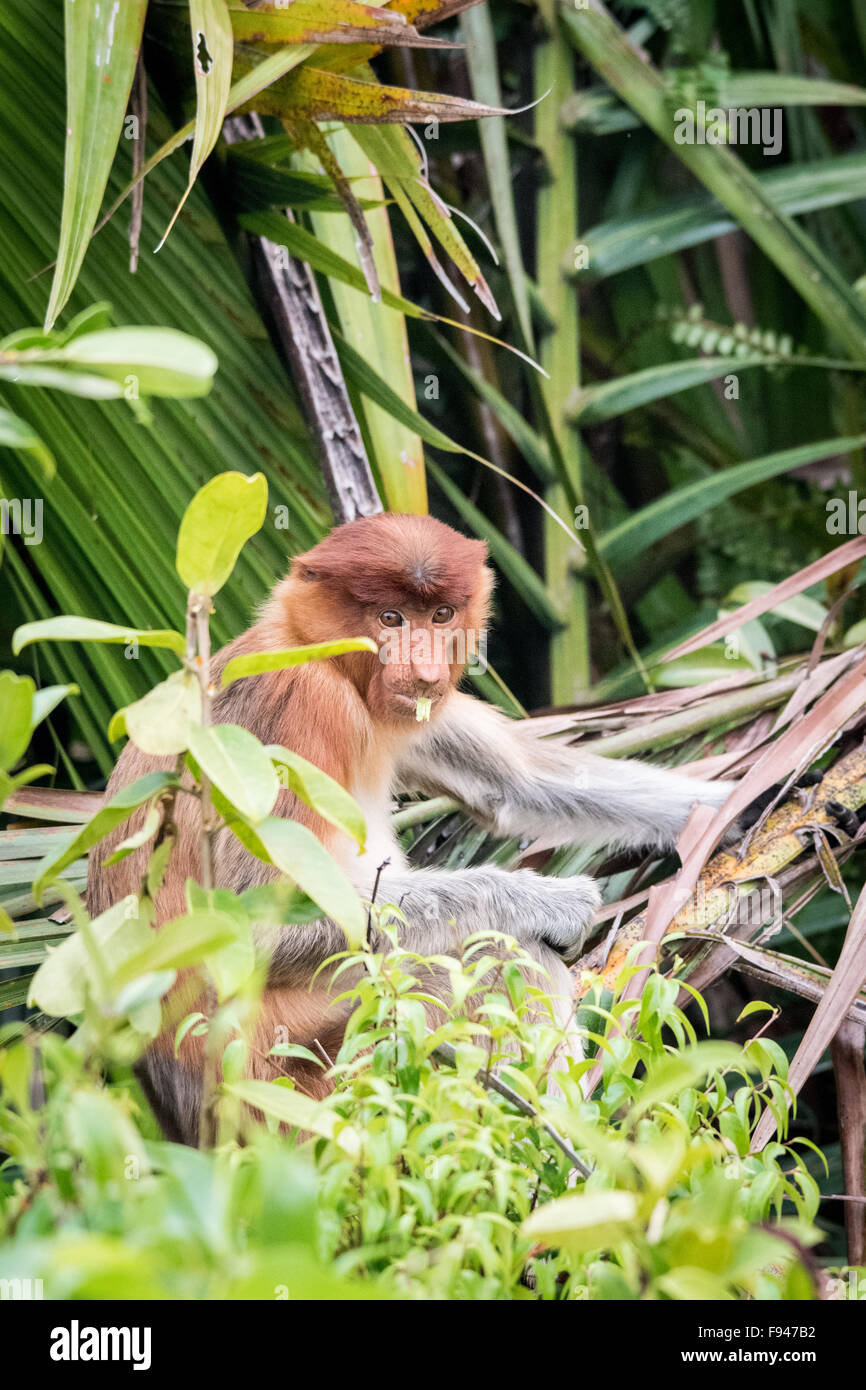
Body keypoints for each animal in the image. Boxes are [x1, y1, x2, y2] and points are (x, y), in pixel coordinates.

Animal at [87, 512, 737, 1145]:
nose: (424, 666)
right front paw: (556, 904)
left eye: (442, 615)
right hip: (312, 1087)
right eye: (390, 618)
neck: (321, 656)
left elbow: (515, 787)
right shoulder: (294, 702)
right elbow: (254, 920)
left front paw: (739, 808)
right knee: (489, 962)